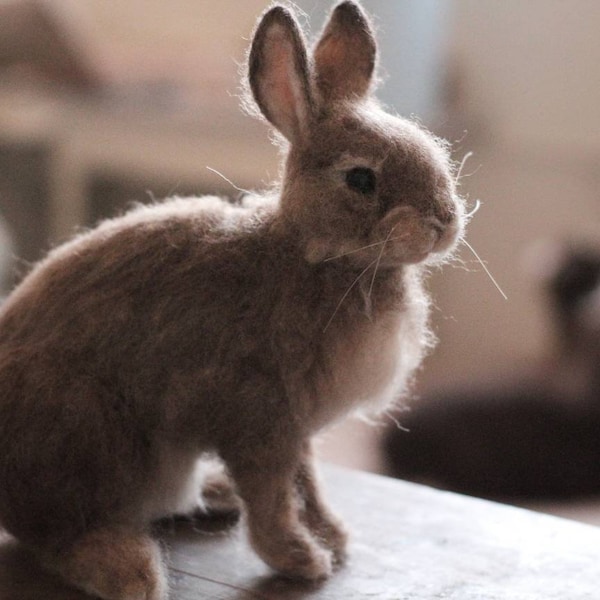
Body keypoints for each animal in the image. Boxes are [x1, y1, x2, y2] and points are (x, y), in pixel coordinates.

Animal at [0, 2, 464, 596]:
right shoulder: (259, 421)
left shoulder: (297, 430)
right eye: (361, 178)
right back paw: (129, 569)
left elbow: (308, 483)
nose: (444, 222)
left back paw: (212, 495)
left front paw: (334, 539)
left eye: (434, 150)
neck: (311, 255)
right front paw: (302, 561)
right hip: (87, 433)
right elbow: (273, 501)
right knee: (59, 535)